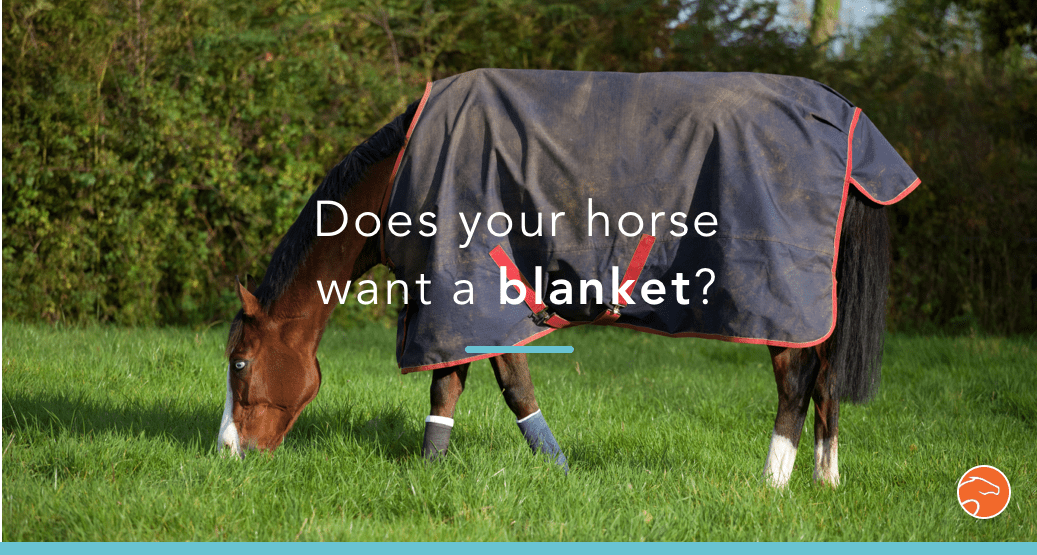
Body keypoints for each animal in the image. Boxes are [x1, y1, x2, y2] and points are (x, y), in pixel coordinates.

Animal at [219, 69, 919, 488]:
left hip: (779, 298)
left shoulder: (467, 287)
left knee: (796, 382)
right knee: (826, 379)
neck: (402, 172)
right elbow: (472, 384)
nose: (228, 454)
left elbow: (489, 384)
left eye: (239, 363)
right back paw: (825, 480)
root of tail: (849, 123)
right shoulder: (471, 297)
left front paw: (519, 468)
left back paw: (772, 484)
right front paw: (457, 468)